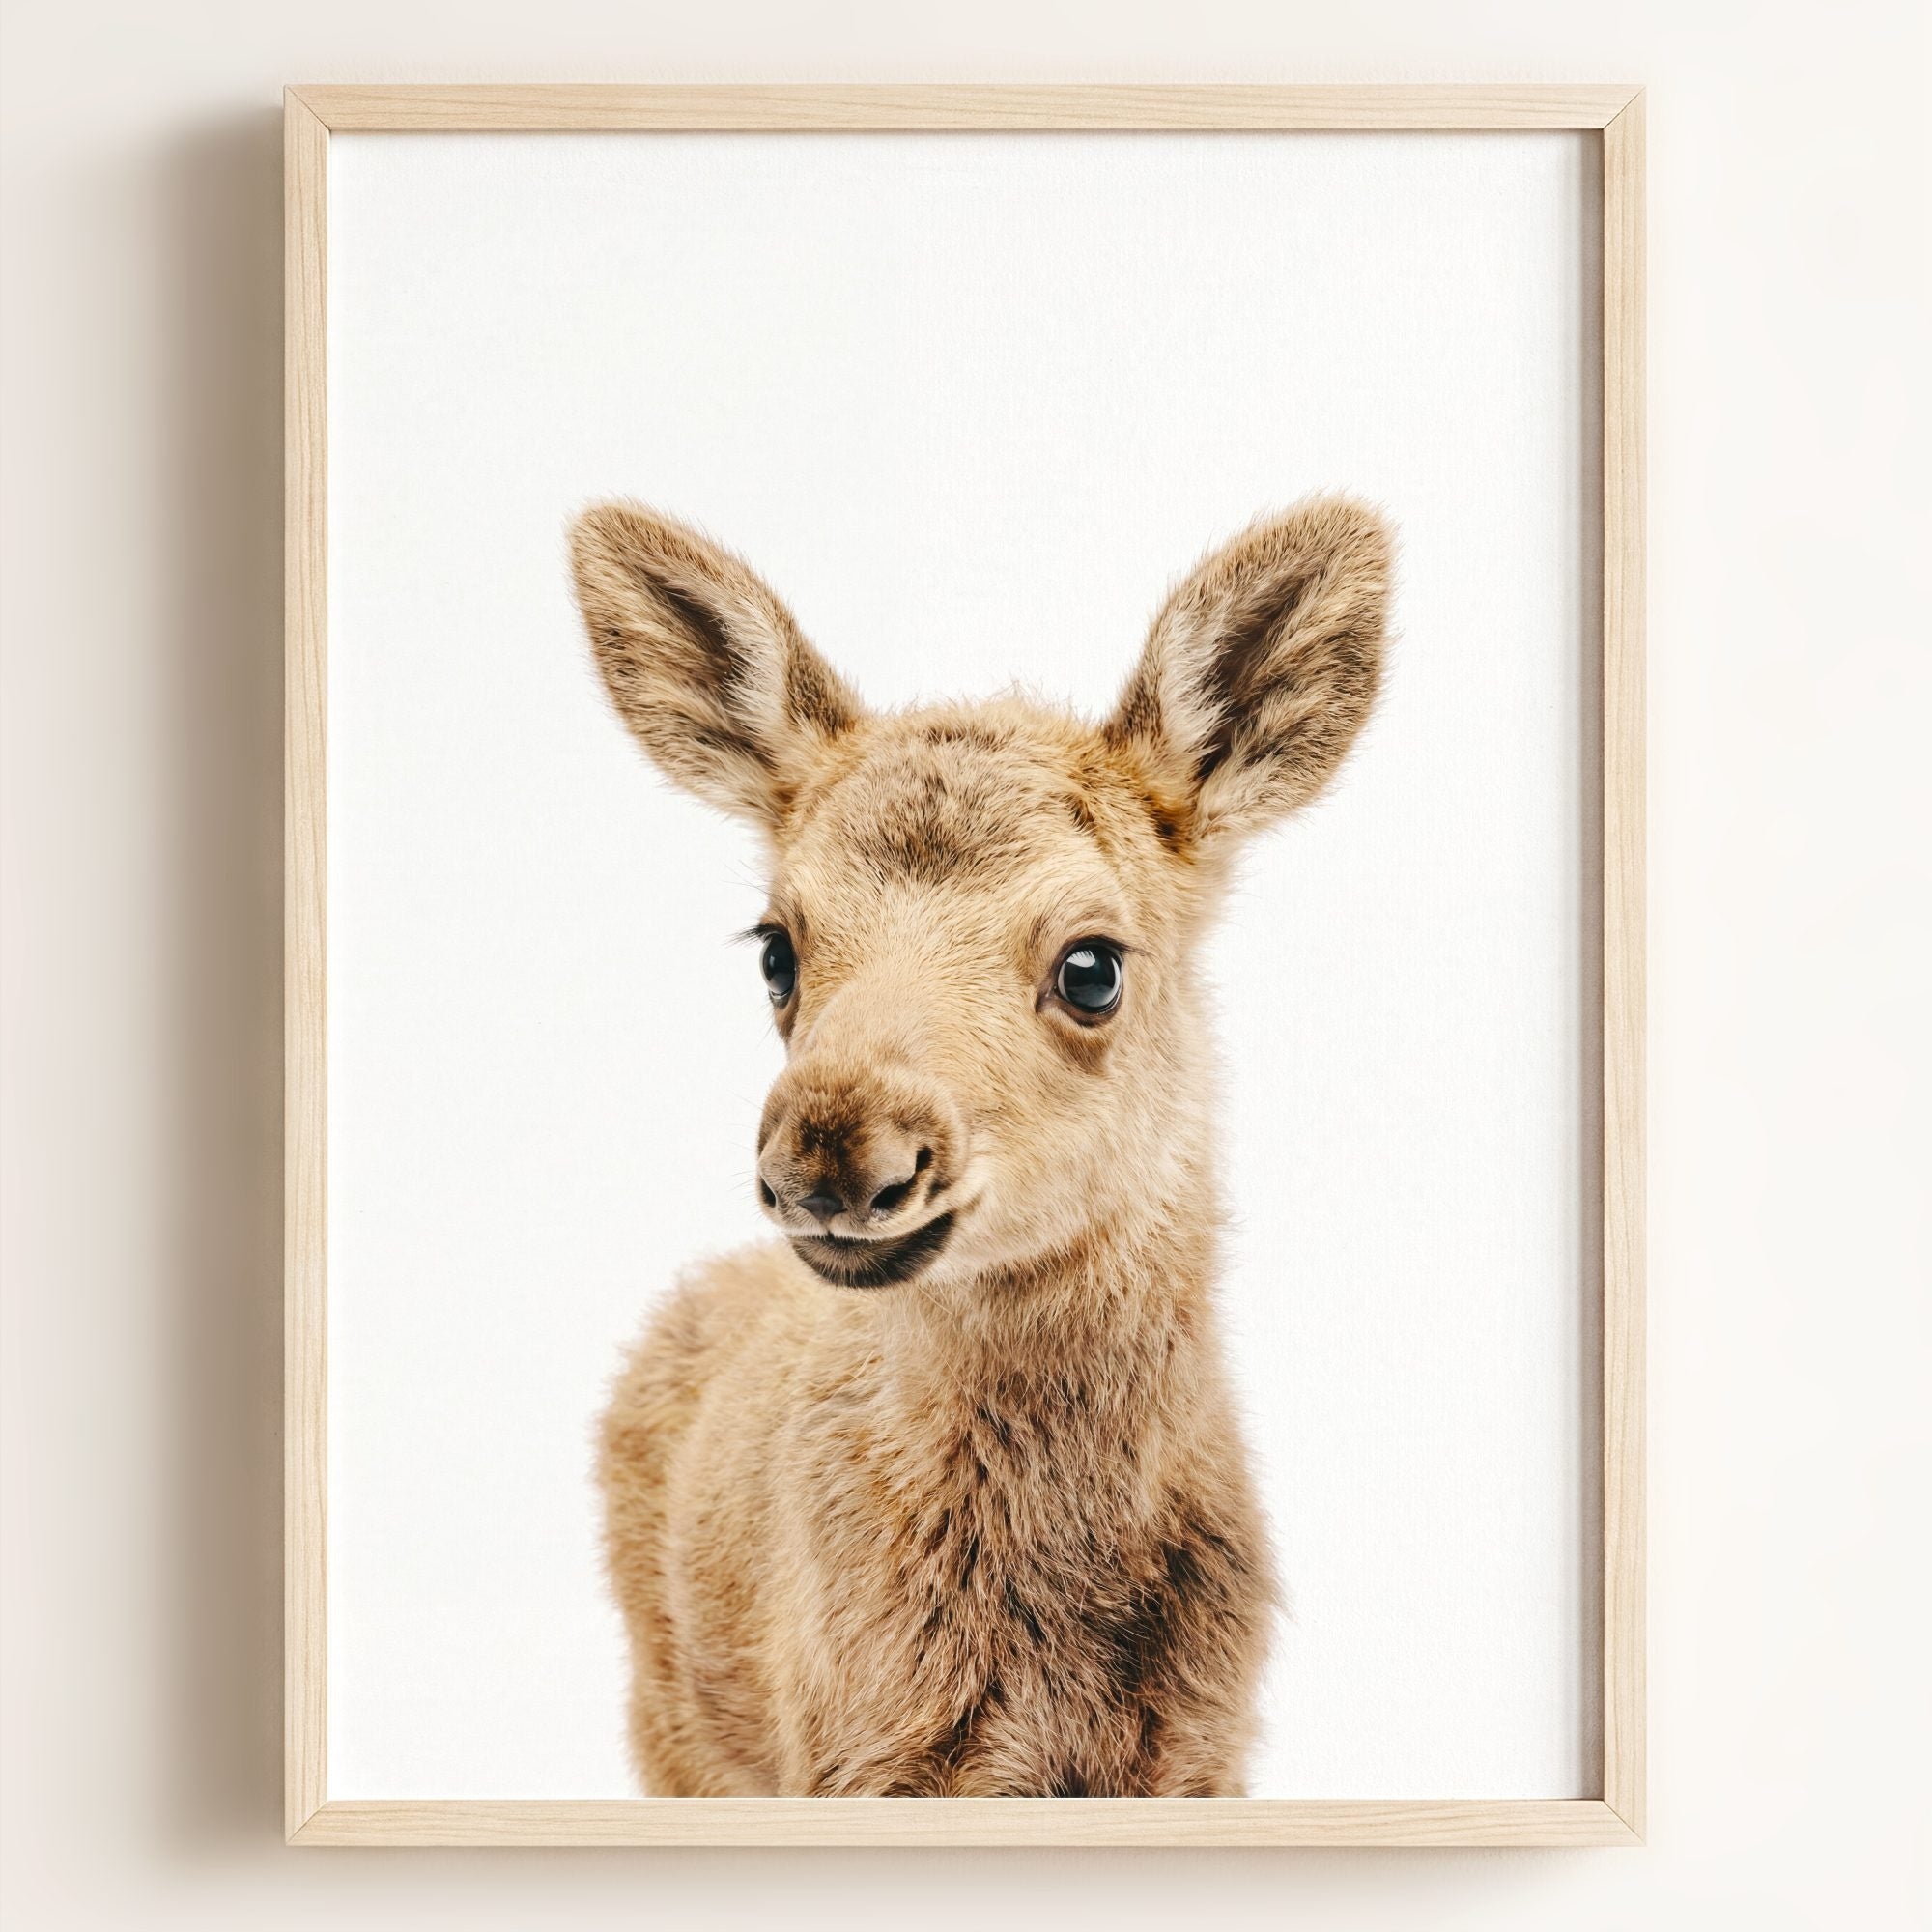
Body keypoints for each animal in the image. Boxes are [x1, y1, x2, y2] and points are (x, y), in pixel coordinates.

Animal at [570, 493, 1392, 1797]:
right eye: (777, 947)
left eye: (1091, 964)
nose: (833, 1151)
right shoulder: (850, 1753)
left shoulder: (1203, 1752)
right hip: (671, 1722)